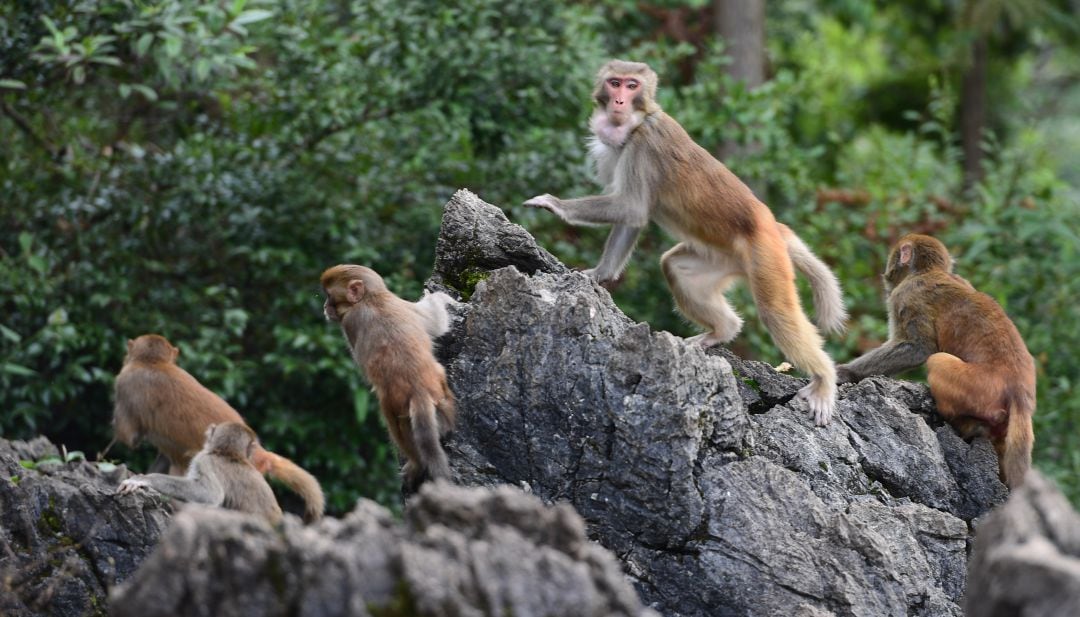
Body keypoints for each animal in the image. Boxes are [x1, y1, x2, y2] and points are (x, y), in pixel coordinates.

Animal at [317, 264, 457, 492]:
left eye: (329, 296)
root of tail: (420, 389)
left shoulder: (350, 322)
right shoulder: (401, 303)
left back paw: (416, 463)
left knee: (393, 422)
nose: (324, 306)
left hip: (394, 403)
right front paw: (440, 297)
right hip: (442, 391)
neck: (371, 298)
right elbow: (436, 323)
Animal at [520, 60, 842, 427]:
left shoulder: (645, 145)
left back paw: (824, 380)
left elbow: (631, 207)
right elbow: (633, 217)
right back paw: (720, 332)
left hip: (765, 255)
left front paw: (555, 204)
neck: (637, 122)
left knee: (776, 312)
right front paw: (599, 274)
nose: (618, 101)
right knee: (675, 267)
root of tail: (772, 224)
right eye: (614, 83)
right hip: (723, 256)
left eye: (632, 85)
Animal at [838, 234, 1032, 490]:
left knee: (937, 360)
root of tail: (1020, 391)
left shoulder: (907, 295)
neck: (928, 271)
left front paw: (846, 372)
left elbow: (919, 348)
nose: (887, 276)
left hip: (978, 386)